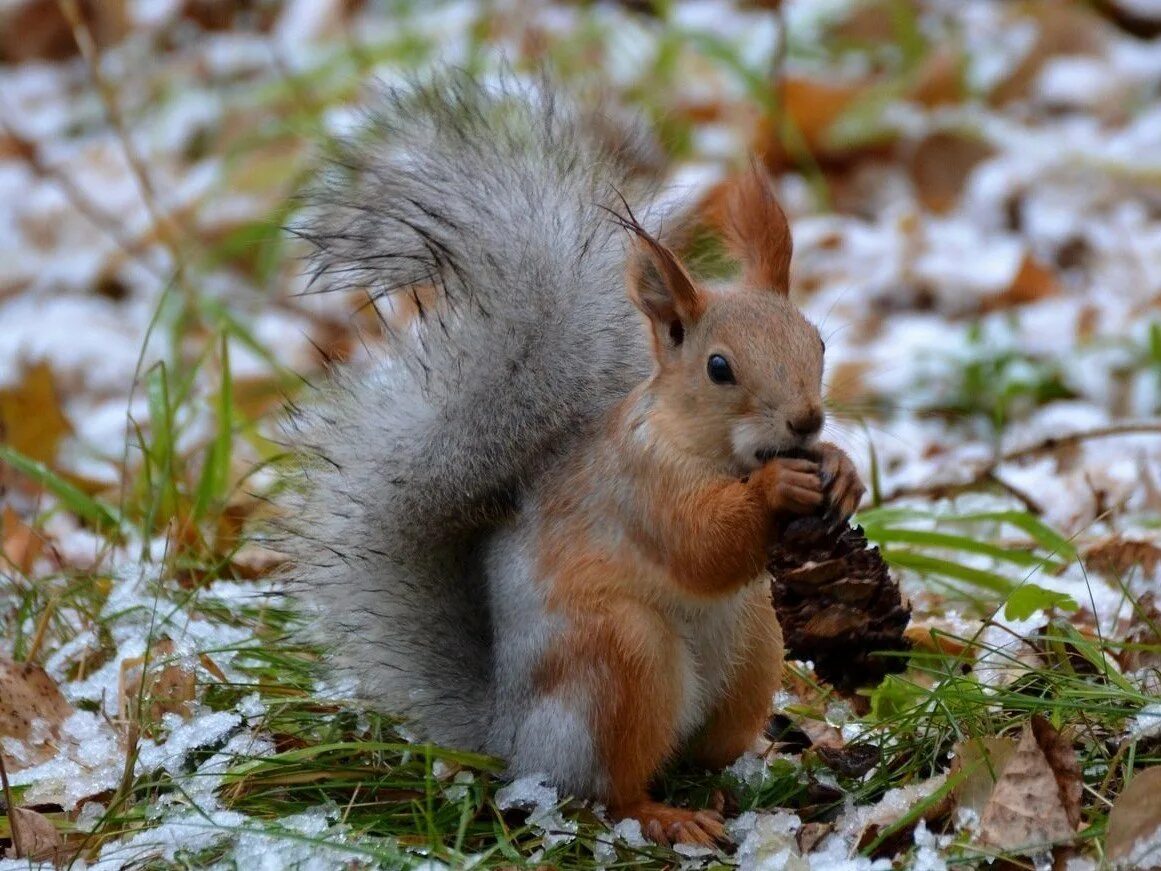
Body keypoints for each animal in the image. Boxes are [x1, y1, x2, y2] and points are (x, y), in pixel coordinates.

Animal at [278, 71, 863, 850]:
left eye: (817, 343)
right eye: (718, 368)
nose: (805, 419)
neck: (710, 449)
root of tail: (509, 740)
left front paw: (842, 469)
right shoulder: (638, 485)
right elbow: (700, 546)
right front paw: (777, 486)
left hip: (756, 643)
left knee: (705, 751)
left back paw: (757, 766)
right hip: (618, 664)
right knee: (606, 790)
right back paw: (664, 814)